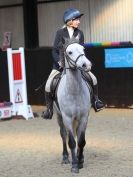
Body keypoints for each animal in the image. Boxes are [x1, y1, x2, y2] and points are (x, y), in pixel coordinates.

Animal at [53, 38, 92, 174]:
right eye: (69, 52)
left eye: (83, 49)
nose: (86, 65)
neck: (74, 91)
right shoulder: (67, 118)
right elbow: (71, 142)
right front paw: (74, 165)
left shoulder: (84, 117)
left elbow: (81, 141)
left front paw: (80, 162)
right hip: (59, 117)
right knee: (63, 134)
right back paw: (65, 157)